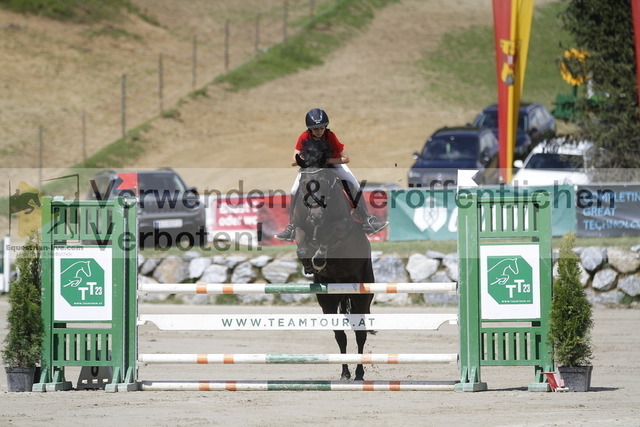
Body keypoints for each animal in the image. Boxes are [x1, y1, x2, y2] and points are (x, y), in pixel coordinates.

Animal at [292, 139, 375, 381]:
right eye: (304, 183)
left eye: (324, 182)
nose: (316, 216)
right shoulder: (300, 226)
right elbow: (302, 244)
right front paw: (309, 264)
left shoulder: (343, 225)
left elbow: (330, 235)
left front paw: (319, 257)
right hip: (327, 300)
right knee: (340, 335)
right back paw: (345, 372)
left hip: (362, 294)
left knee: (360, 333)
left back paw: (358, 373)